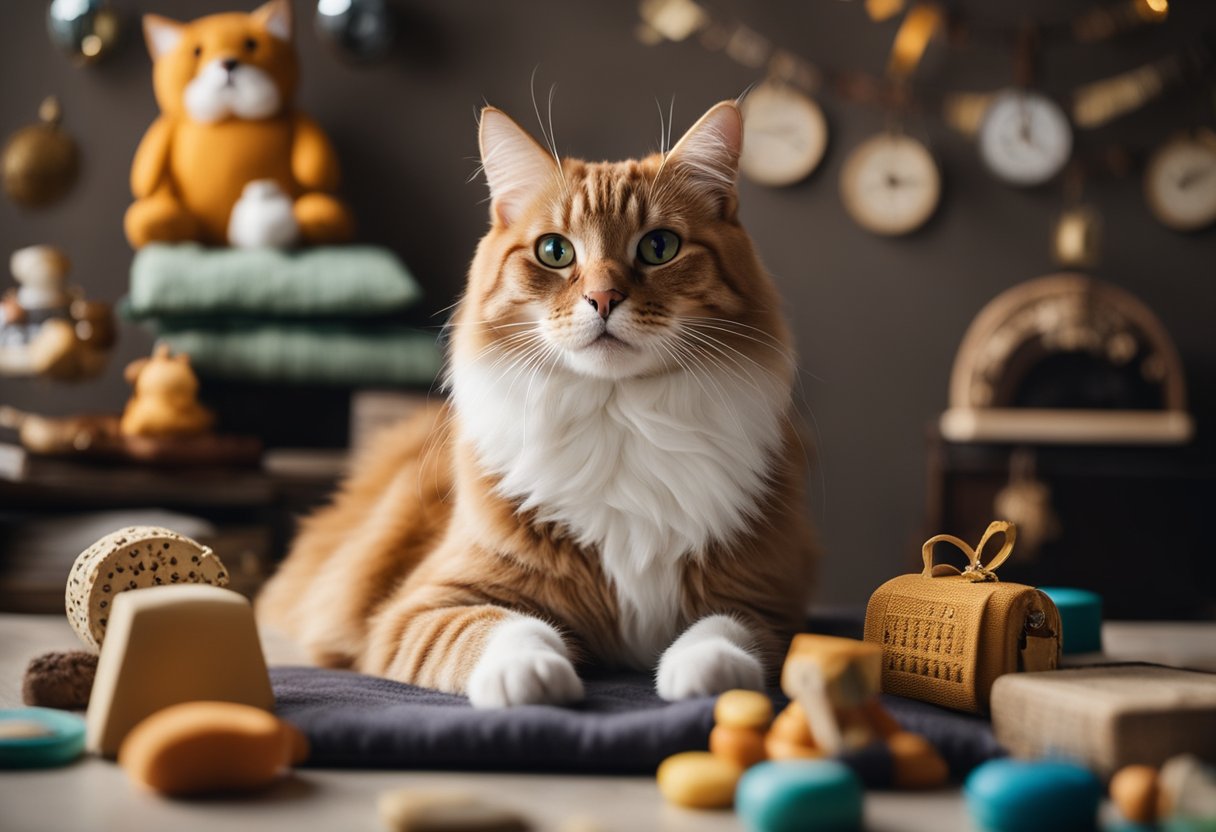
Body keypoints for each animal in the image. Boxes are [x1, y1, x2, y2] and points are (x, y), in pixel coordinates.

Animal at [254, 100, 817, 705]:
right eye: (555, 251)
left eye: (659, 247)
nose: (603, 298)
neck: (618, 418)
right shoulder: (421, 608)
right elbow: (501, 628)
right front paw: (529, 675)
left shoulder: (768, 606)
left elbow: (722, 631)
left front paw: (708, 672)